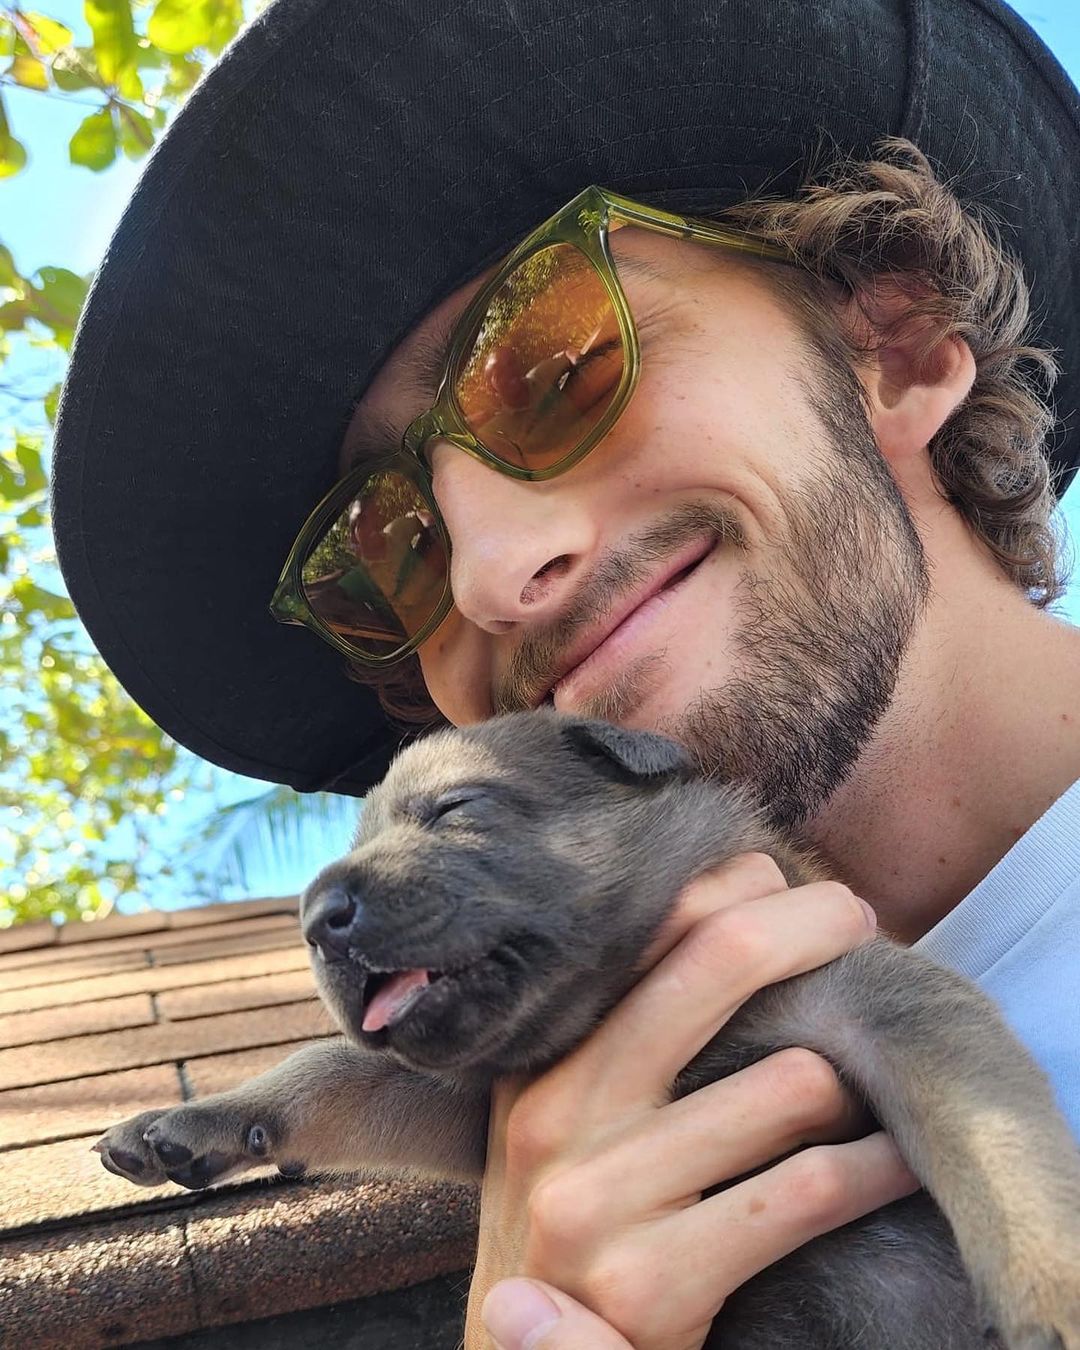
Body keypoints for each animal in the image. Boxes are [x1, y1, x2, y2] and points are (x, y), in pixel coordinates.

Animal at [95, 711, 1080, 1349]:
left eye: (456, 809)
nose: (314, 917)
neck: (614, 993)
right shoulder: (467, 1107)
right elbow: (333, 1068)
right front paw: (197, 1121)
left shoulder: (887, 1008)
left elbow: (993, 1140)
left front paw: (1051, 1289)